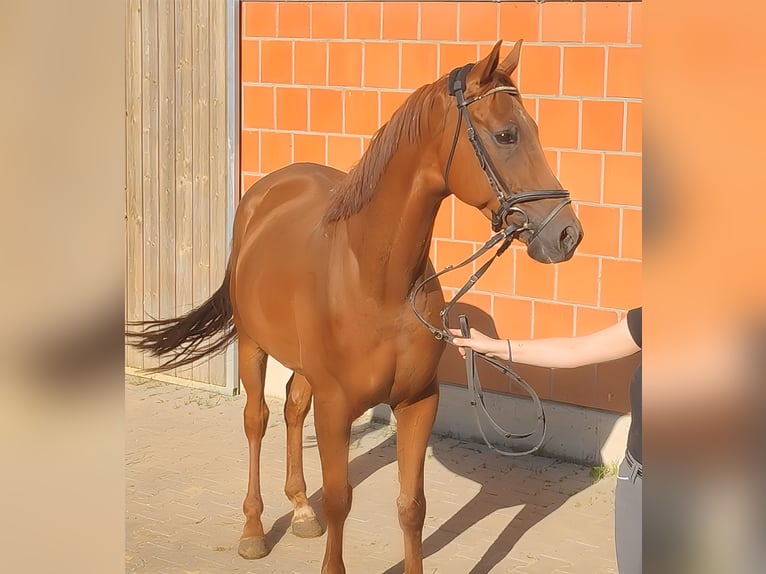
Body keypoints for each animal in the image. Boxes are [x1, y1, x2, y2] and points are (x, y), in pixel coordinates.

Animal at [126, 39, 583, 574]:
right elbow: (341, 498)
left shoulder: (417, 402)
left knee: (293, 408)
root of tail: (263, 194)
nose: (567, 234)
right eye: (506, 135)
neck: (378, 283)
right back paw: (254, 531)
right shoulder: (336, 406)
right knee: (257, 420)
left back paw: (301, 511)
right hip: (253, 346)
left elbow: (412, 506)